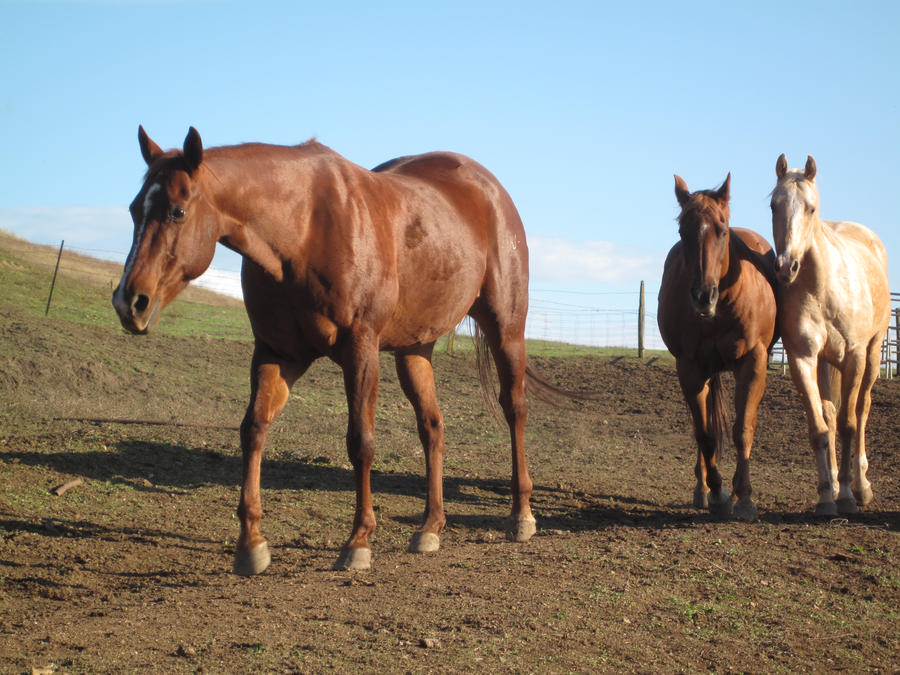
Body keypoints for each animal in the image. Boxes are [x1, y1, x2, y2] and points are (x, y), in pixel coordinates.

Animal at [111, 127, 536, 576]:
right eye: (135, 209)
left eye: (177, 211)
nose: (129, 302)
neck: (303, 230)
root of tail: (490, 190)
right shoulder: (276, 353)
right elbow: (253, 430)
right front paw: (251, 543)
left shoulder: (360, 349)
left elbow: (360, 441)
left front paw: (358, 541)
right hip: (415, 348)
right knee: (432, 426)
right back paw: (430, 527)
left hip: (506, 330)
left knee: (514, 410)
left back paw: (520, 516)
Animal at [656, 174, 776, 524]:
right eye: (683, 231)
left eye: (722, 230)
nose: (702, 296)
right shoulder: (690, 368)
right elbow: (706, 435)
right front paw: (718, 493)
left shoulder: (753, 362)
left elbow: (742, 430)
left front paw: (744, 498)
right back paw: (703, 490)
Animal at [768, 156, 888, 516]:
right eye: (773, 205)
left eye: (811, 208)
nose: (785, 267)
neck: (821, 287)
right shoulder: (803, 359)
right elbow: (820, 427)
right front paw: (826, 496)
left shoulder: (854, 357)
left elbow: (850, 424)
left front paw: (847, 495)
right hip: (825, 362)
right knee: (831, 414)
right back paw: (835, 483)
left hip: (873, 354)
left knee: (861, 410)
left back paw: (861, 487)